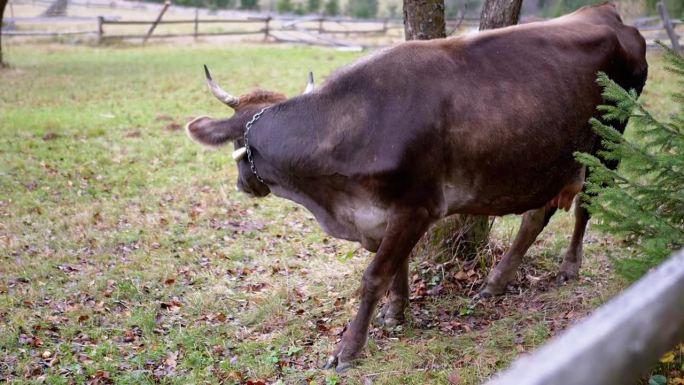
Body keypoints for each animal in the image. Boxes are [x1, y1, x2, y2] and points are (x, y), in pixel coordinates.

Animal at [186, 1, 648, 370]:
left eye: (237, 144)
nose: (244, 186)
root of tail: (603, 11)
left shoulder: (418, 206)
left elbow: (374, 275)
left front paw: (348, 349)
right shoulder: (382, 213)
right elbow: (396, 268)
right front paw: (396, 313)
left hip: (610, 137)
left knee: (587, 202)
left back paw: (569, 267)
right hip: (554, 158)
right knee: (539, 213)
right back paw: (495, 283)